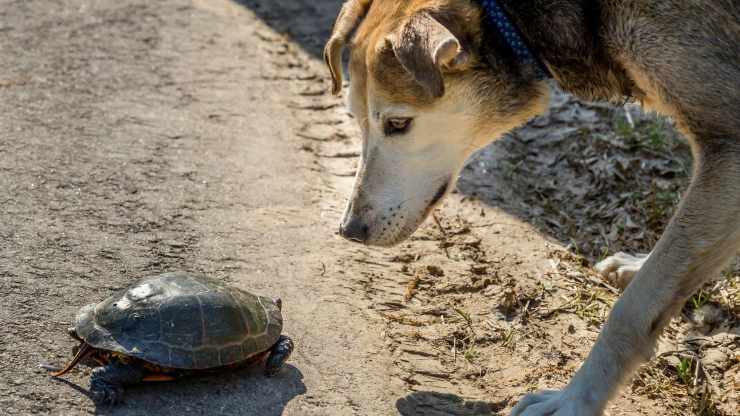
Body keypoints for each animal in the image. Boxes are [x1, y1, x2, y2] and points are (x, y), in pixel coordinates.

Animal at [326, 0, 740, 416]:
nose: (350, 231)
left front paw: (575, 400)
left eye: (398, 123)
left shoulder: (728, 149)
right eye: (356, 118)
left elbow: (632, 309)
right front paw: (640, 264)